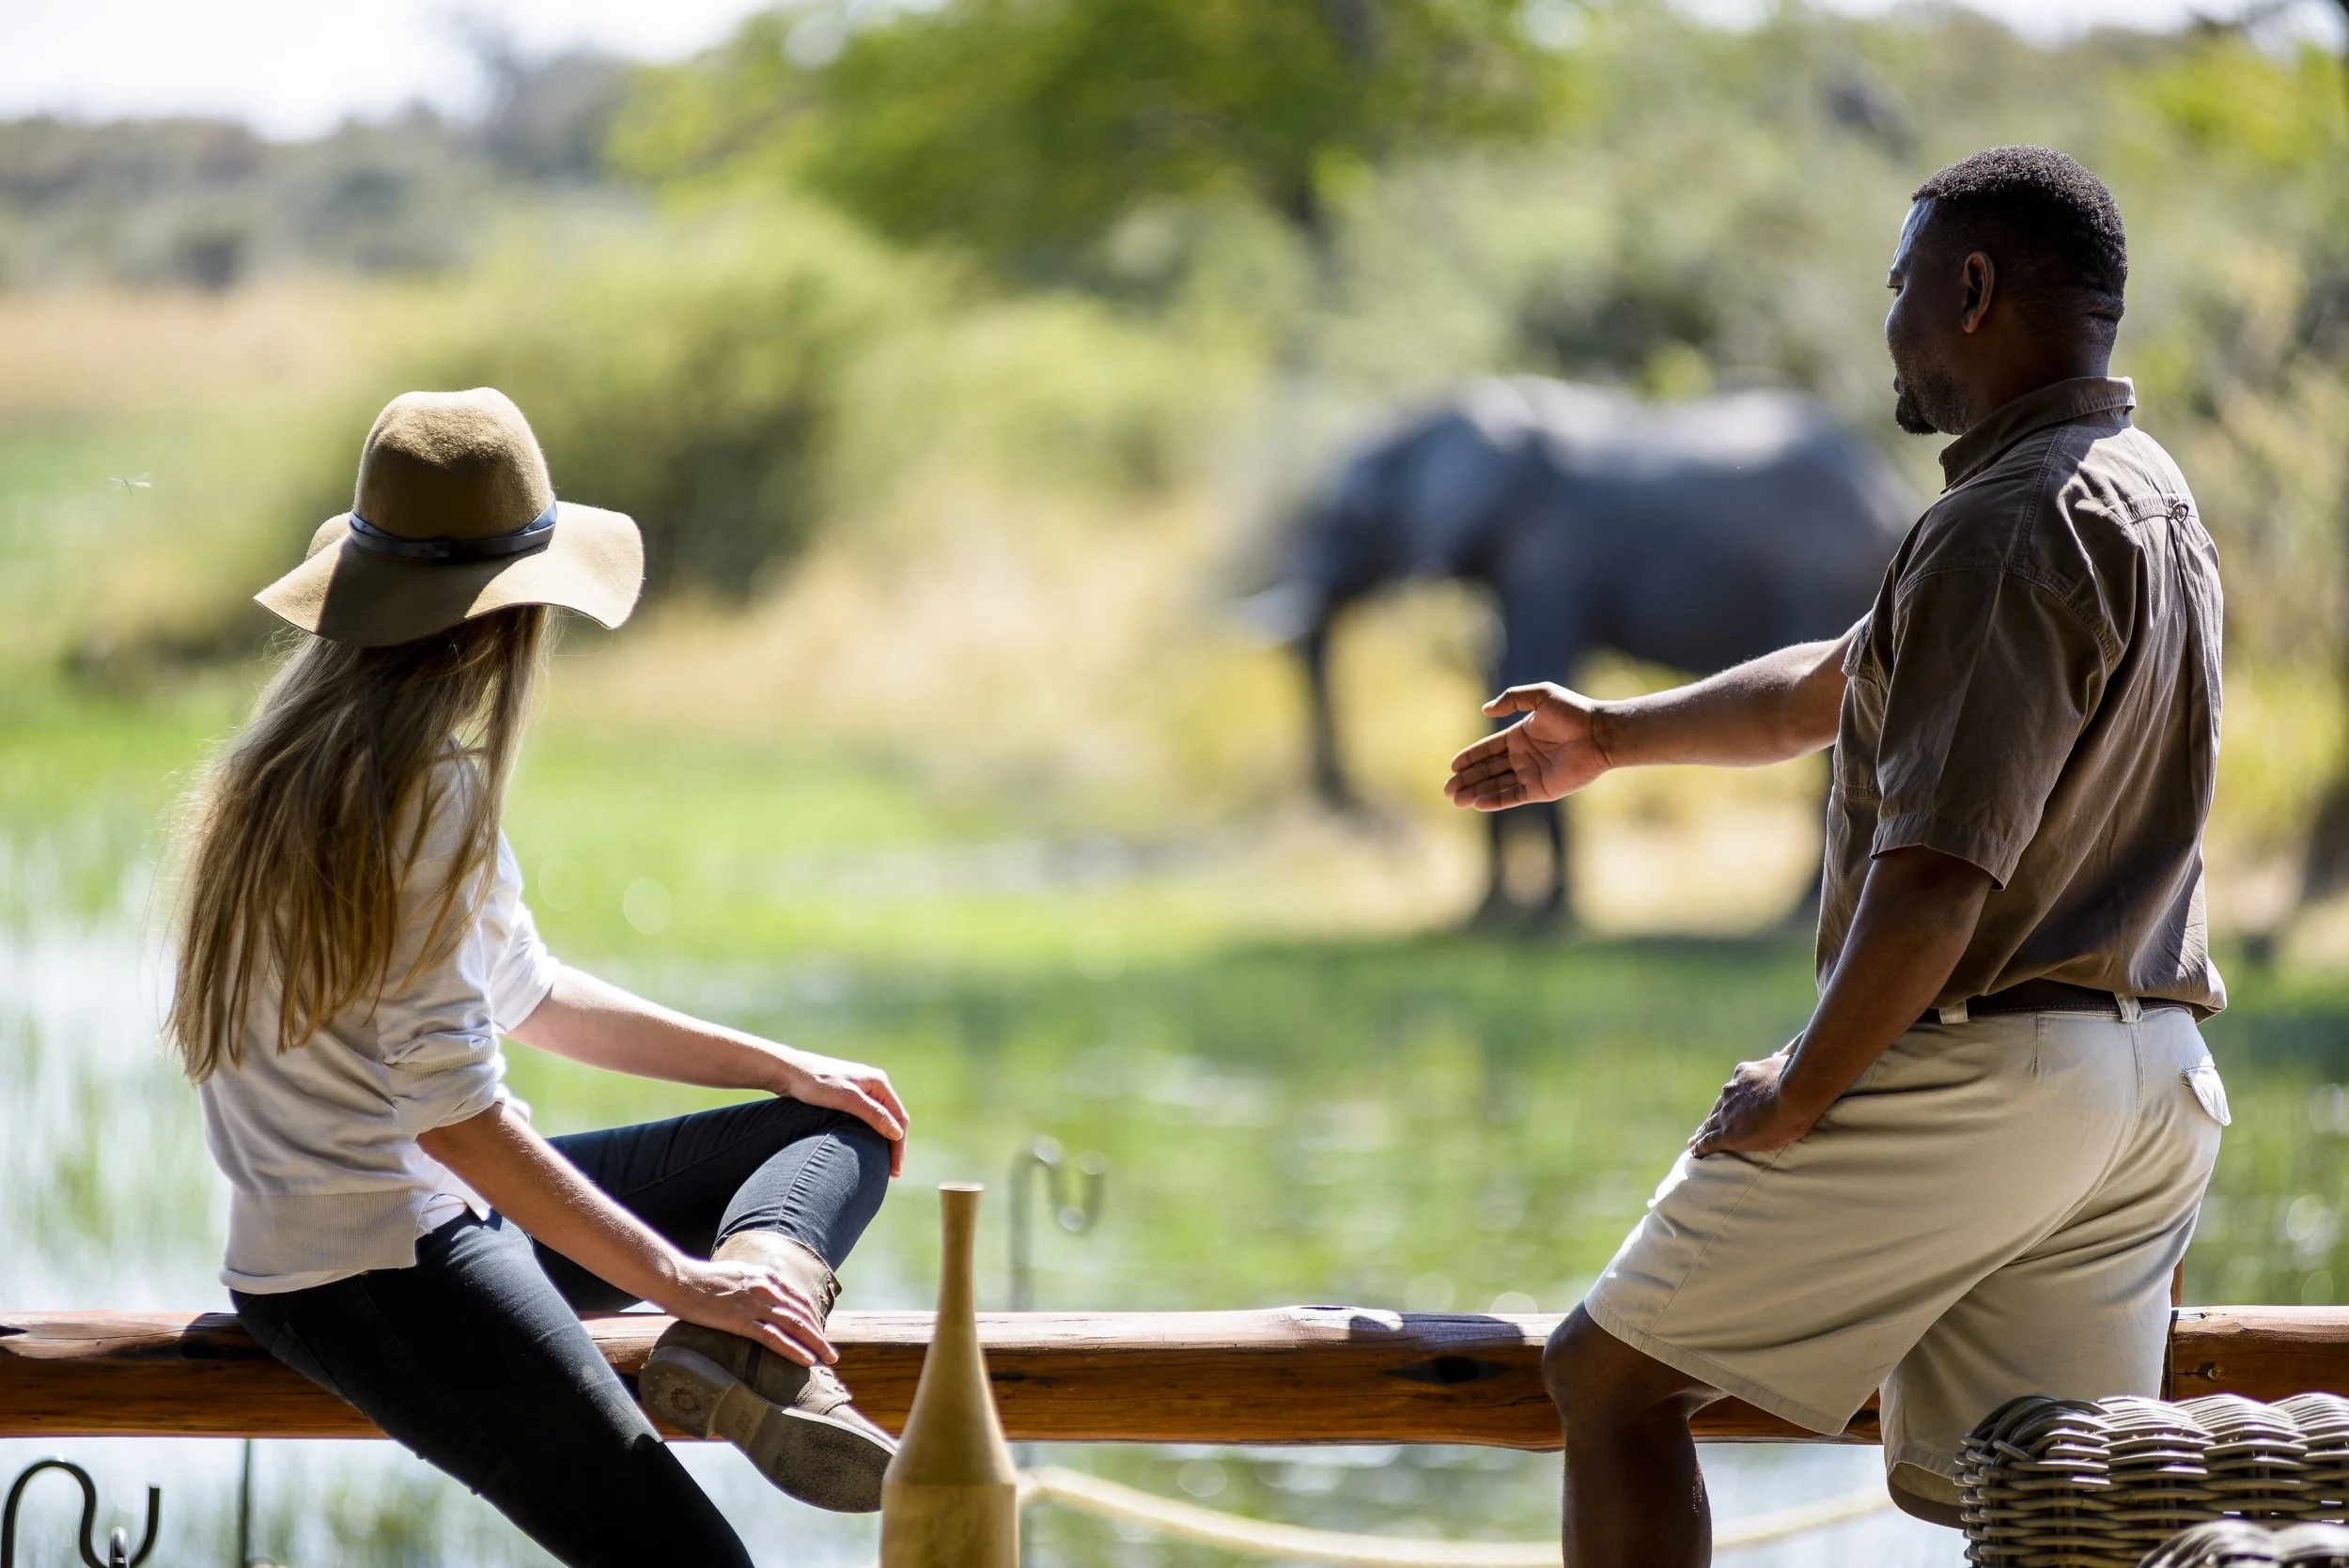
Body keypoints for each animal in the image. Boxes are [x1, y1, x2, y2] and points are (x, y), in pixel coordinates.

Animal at [1254, 375, 1921, 927]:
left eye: (1350, 518)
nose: (1375, 831)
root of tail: (1884, 480)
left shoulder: (1550, 550)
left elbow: (1526, 659)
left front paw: (1538, 915)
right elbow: (1496, 668)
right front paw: (1488, 914)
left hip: (1821, 577)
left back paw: (1793, 914)